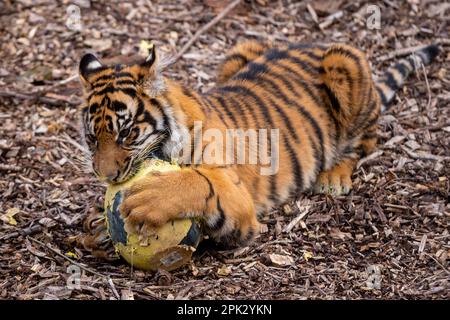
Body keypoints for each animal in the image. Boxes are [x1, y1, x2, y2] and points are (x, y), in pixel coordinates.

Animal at [78, 40, 440, 250]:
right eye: (91, 138)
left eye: (126, 133)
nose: (106, 177)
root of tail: (310, 43)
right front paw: (97, 229)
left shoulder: (237, 198)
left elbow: (199, 182)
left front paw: (150, 197)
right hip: (241, 49)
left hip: (346, 60)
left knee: (367, 138)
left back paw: (334, 178)